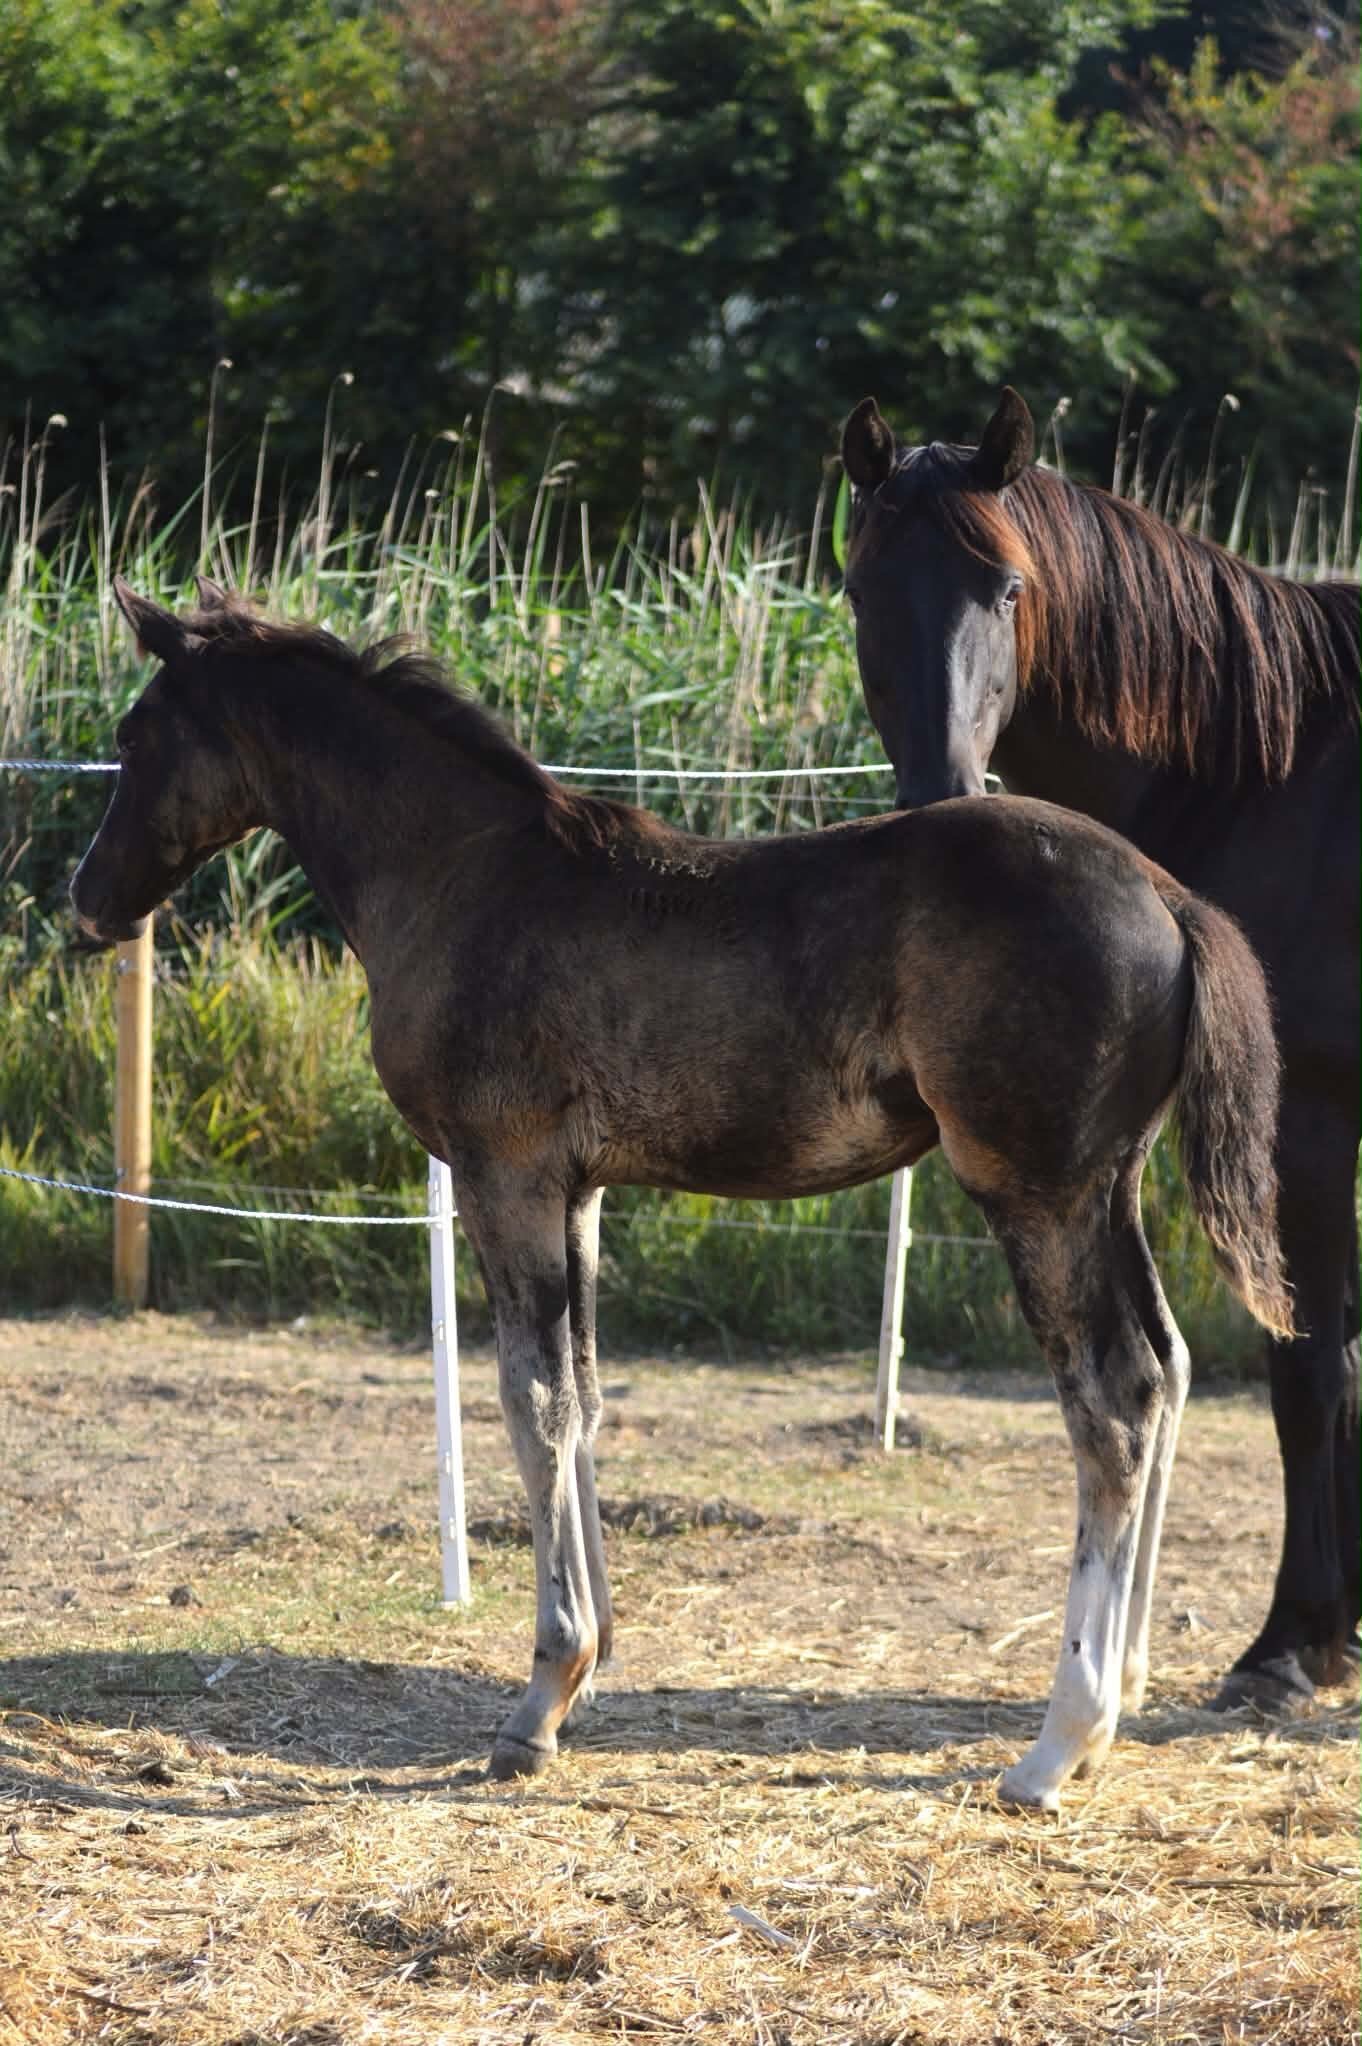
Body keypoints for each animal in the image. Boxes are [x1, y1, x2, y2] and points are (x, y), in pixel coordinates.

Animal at [71, 577, 1292, 1810]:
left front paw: (540, 1697)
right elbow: (587, 1397)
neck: (464, 875)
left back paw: (1057, 1742)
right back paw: (1122, 1692)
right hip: (1110, 1187)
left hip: (1037, 1193)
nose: (89, 899)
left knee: (1114, 1401)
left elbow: (532, 1401)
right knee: (1170, 1365)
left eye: (135, 736)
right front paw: (590, 1669)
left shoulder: (505, 1176)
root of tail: (1166, 894)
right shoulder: (581, 1191)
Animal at [839, 387, 1360, 1713]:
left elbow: (1309, 1370)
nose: (942, 794)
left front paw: (1293, 1645)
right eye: (863, 588)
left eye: (1009, 589)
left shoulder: (1308, 1123)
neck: (1268, 769)